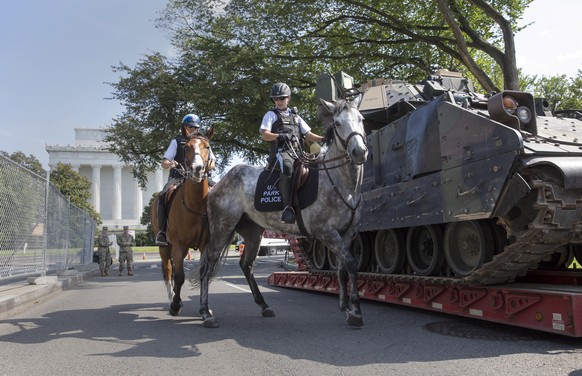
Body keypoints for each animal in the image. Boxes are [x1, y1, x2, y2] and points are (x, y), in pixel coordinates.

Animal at [151, 134, 214, 316]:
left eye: (207, 147)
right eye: (186, 147)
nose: (197, 169)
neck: (196, 205)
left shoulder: (205, 245)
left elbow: (204, 275)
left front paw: (205, 308)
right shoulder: (179, 245)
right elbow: (179, 276)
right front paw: (175, 305)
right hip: (165, 246)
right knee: (168, 271)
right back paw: (171, 298)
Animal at [198, 95, 368, 328]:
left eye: (361, 119)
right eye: (337, 123)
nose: (359, 152)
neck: (341, 183)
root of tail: (218, 184)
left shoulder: (348, 233)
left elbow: (342, 267)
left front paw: (345, 307)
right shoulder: (326, 233)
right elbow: (350, 264)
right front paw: (356, 311)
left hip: (252, 232)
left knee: (246, 265)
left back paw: (263, 305)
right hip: (222, 228)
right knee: (208, 265)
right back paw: (206, 313)